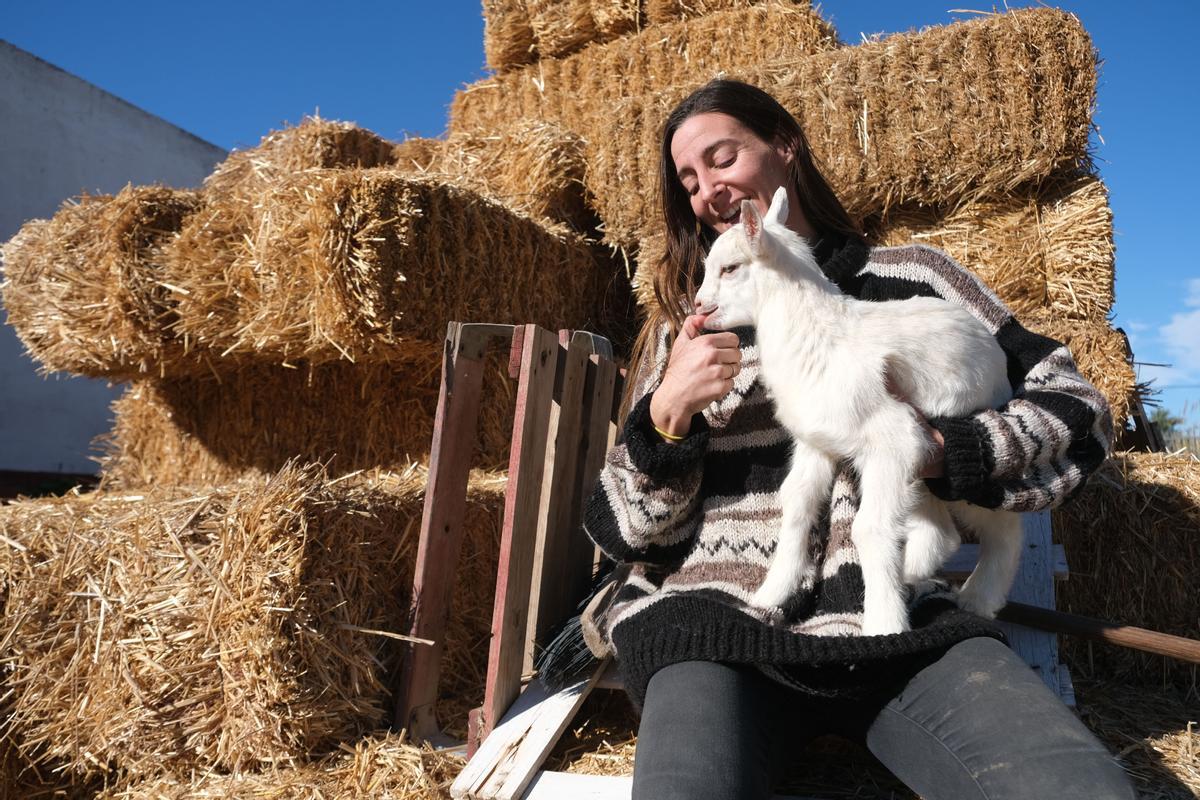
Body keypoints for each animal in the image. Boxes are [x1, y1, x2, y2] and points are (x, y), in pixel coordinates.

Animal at [700, 188, 1027, 638]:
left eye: (730, 268)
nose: (699, 306)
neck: (815, 334)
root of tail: (996, 357)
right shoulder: (818, 442)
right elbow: (797, 502)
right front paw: (770, 594)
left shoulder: (892, 439)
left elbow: (869, 528)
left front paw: (884, 624)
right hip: (924, 464)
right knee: (943, 533)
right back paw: (916, 575)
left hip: (948, 448)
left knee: (1003, 526)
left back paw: (978, 598)